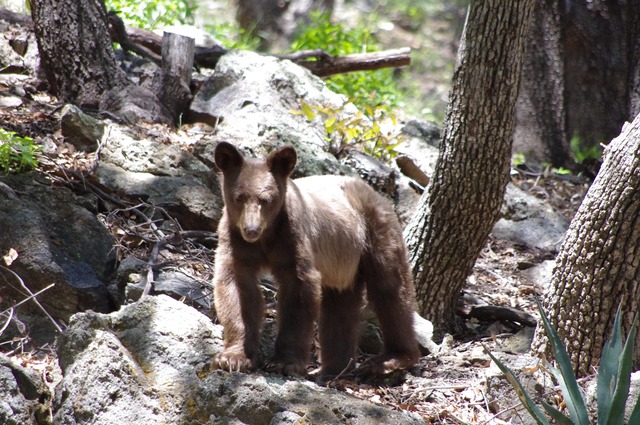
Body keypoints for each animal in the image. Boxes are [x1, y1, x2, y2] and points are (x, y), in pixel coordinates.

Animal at [211, 142, 420, 378]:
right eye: (239, 197)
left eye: (266, 199)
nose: (251, 229)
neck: (266, 238)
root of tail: (374, 192)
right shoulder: (236, 242)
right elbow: (237, 288)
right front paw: (233, 358)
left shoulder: (292, 237)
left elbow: (299, 288)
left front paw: (285, 363)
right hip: (343, 262)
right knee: (340, 306)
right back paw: (334, 368)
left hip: (375, 234)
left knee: (390, 289)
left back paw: (391, 358)